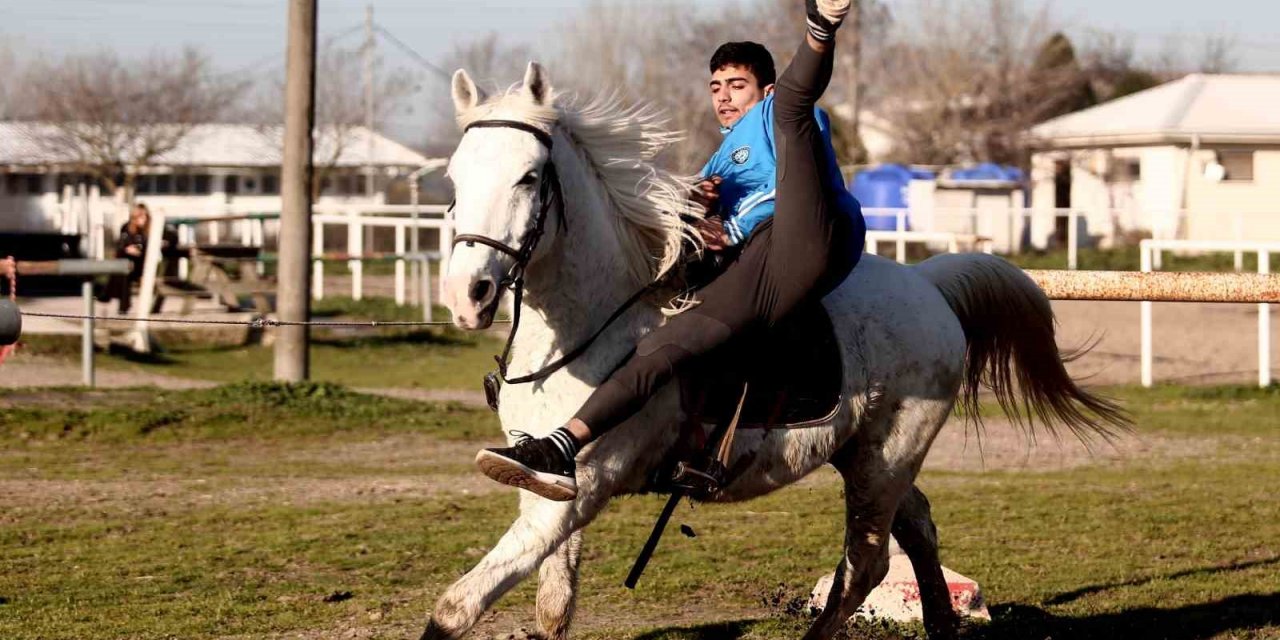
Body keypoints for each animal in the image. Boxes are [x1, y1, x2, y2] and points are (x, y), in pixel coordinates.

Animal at [427, 63, 1121, 640]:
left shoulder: (582, 491)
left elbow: (456, 608)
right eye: (455, 178)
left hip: (885, 462)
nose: (468, 294)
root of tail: (927, 284)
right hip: (865, 456)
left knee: (866, 563)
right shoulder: (549, 497)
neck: (589, 326)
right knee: (917, 528)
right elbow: (551, 610)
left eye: (528, 177)